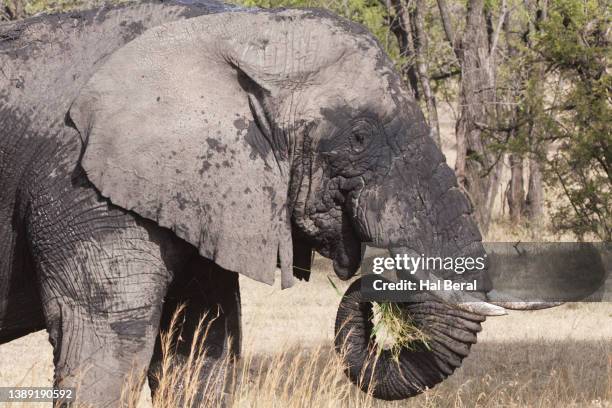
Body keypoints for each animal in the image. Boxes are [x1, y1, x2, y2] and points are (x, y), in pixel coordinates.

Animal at [0, 0, 524, 404]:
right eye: (359, 137)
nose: (374, 288)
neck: (236, 29)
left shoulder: (198, 194)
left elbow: (201, 349)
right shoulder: (80, 183)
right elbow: (104, 347)